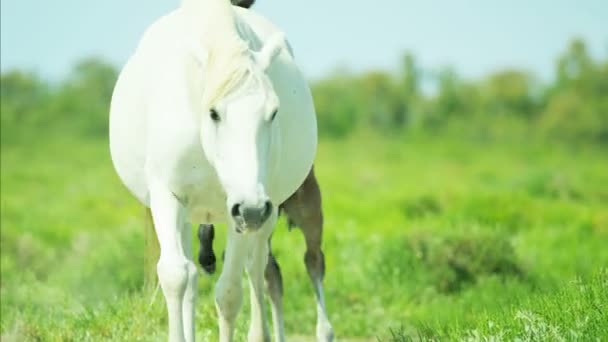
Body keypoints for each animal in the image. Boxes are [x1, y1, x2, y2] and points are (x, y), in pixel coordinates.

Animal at [109, 0, 332, 342]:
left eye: (273, 112)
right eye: (213, 112)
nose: (252, 208)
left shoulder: (242, 209)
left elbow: (229, 293)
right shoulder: (167, 195)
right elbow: (175, 276)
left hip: (284, 210)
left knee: (276, 266)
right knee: (197, 275)